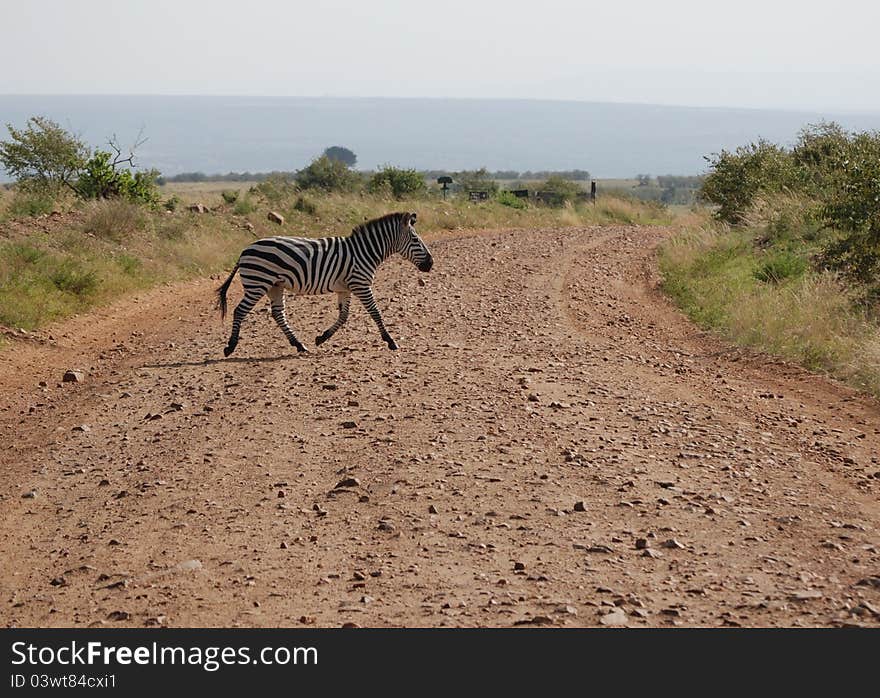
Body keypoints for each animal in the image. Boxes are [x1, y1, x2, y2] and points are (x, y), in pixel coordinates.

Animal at [215, 211, 432, 354]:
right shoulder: (361, 284)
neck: (365, 251)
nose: (431, 263)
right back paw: (230, 347)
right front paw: (390, 340)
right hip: (257, 283)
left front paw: (321, 338)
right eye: (415, 240)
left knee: (278, 314)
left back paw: (299, 345)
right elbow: (376, 313)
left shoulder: (346, 289)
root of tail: (245, 251)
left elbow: (343, 316)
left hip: (274, 286)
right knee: (240, 311)